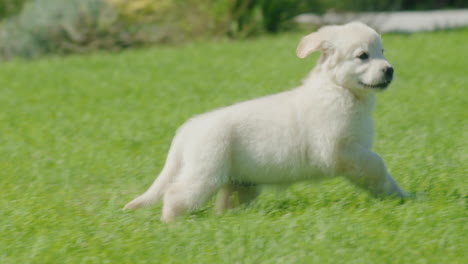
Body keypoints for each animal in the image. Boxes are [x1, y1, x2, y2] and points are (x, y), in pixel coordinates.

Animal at [124, 22, 406, 221]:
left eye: (382, 51)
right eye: (363, 56)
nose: (390, 70)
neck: (339, 89)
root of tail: (187, 128)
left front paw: (403, 197)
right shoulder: (339, 150)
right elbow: (376, 164)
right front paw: (396, 194)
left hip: (241, 182)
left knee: (225, 203)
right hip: (205, 172)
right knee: (176, 194)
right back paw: (171, 223)